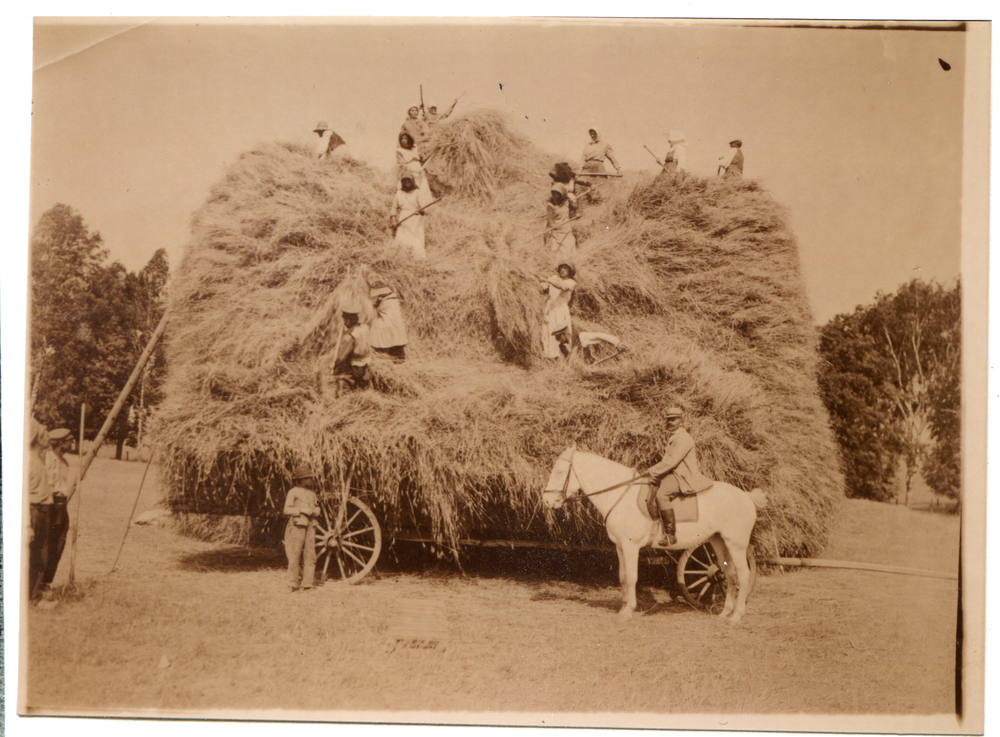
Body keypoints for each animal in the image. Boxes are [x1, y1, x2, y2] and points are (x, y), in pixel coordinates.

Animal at [548, 446, 764, 624]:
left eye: (559, 471)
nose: (547, 500)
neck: (622, 494)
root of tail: (747, 497)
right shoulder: (620, 547)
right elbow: (623, 577)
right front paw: (623, 609)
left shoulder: (630, 546)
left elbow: (632, 577)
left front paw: (628, 612)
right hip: (719, 541)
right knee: (729, 574)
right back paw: (725, 613)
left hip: (736, 544)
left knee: (743, 575)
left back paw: (736, 616)